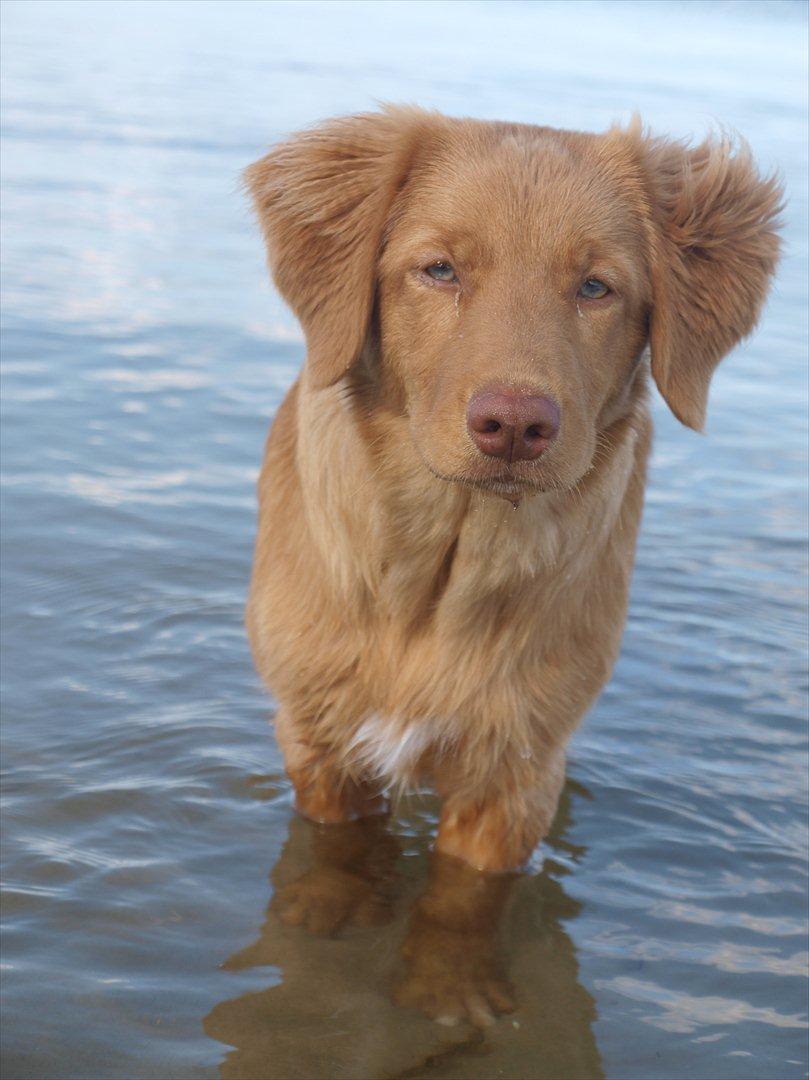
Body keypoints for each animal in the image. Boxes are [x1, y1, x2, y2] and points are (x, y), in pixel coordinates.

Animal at [243, 105, 777, 872]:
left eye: (595, 287)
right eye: (439, 270)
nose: (516, 427)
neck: (441, 567)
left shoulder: (514, 776)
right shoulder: (319, 744)